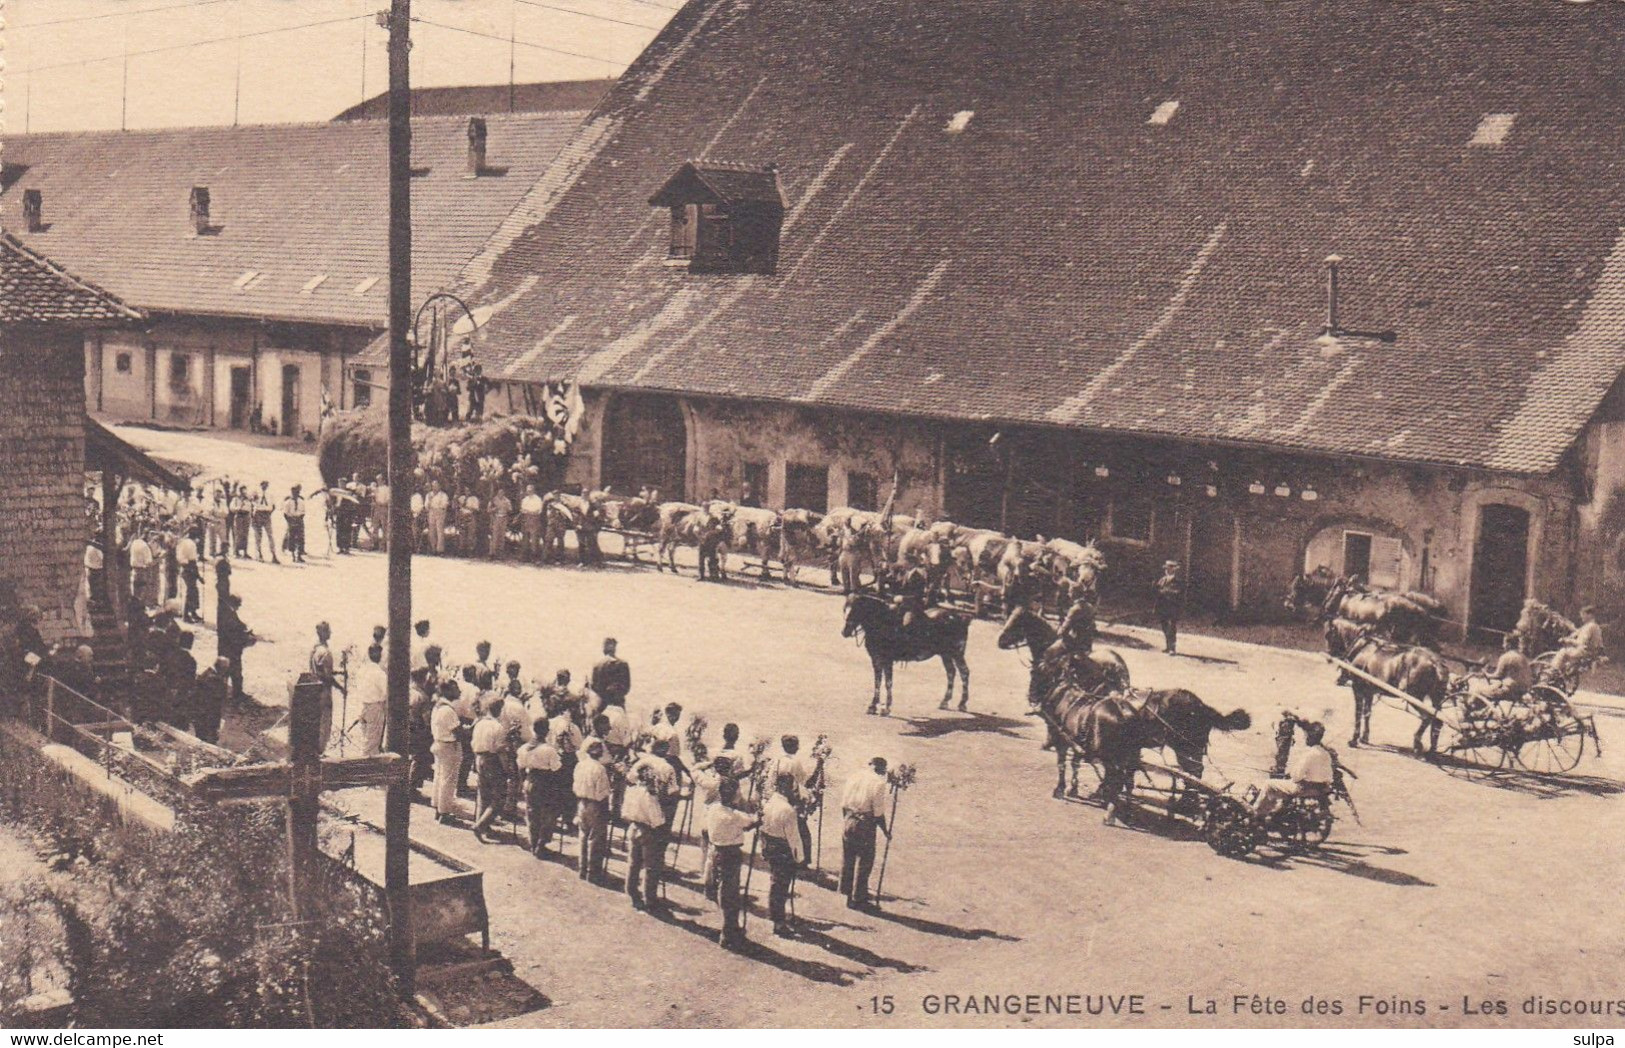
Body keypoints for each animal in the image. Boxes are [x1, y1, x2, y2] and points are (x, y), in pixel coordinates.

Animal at [1326, 614, 1456, 750]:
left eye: (1328, 635)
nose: (1329, 655)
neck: (1362, 648)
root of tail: (1436, 663)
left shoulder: (1358, 689)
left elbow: (1358, 713)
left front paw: (1354, 739)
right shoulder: (1369, 691)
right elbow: (1367, 713)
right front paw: (1364, 737)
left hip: (1414, 696)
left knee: (1427, 717)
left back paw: (1417, 743)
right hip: (1436, 697)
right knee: (1437, 720)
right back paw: (1432, 749)